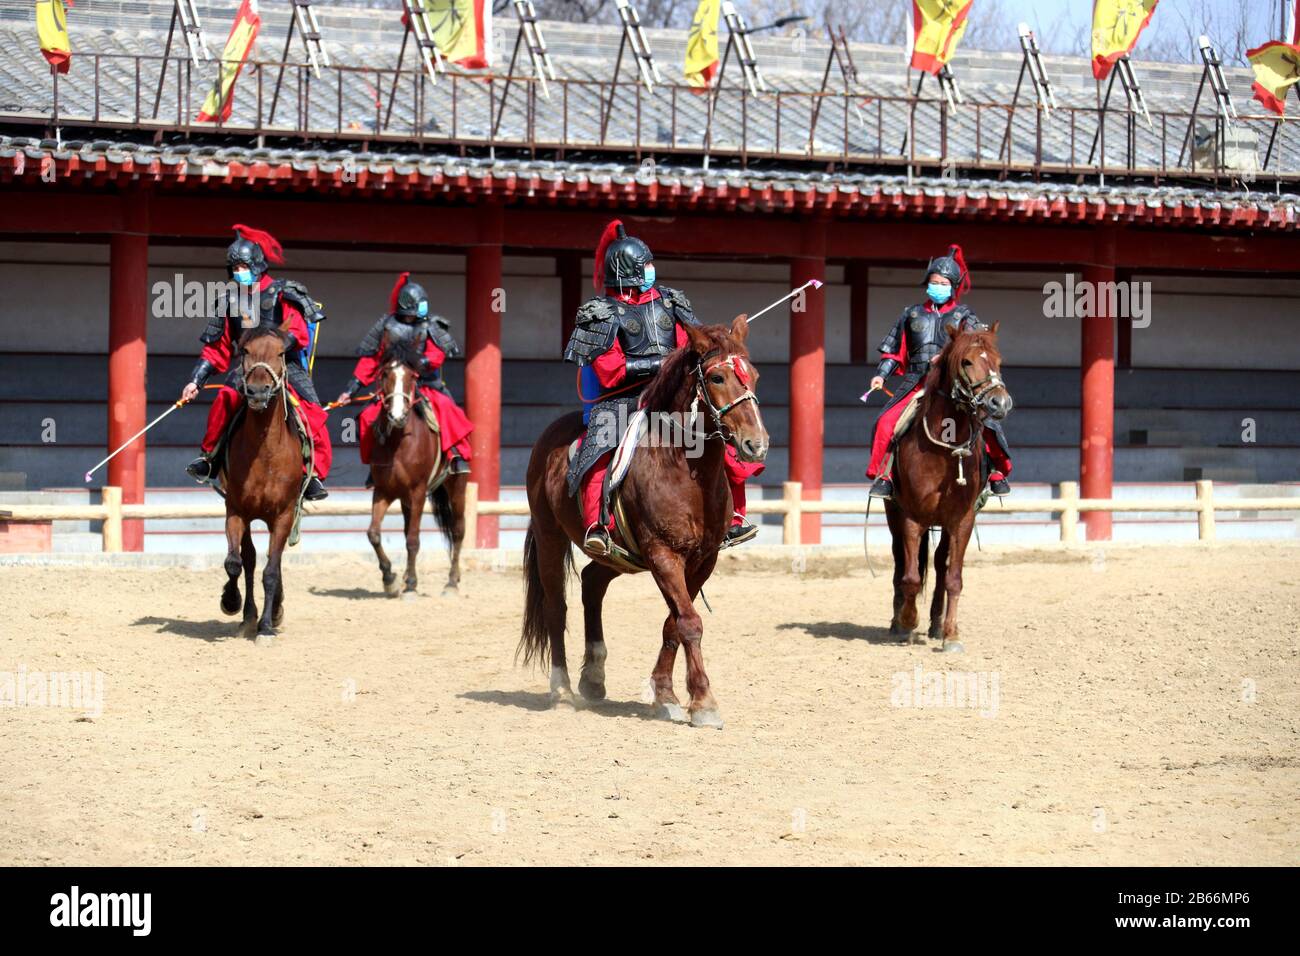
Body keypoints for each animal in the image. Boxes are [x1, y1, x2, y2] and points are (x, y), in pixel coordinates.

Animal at [220, 325, 309, 647]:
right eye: (245, 351)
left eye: (281, 353)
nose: (258, 392)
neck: (265, 454)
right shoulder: (236, 511)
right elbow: (235, 562)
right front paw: (231, 602)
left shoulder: (283, 515)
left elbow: (271, 570)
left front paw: (267, 627)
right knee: (248, 559)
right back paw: (248, 615)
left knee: (275, 560)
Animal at [366, 343, 467, 598]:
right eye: (385, 375)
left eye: (412, 377)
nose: (397, 416)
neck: (399, 443)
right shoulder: (383, 492)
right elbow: (374, 534)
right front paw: (390, 579)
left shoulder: (418, 491)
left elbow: (413, 539)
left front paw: (411, 584)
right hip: (405, 499)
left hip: (456, 487)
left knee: (458, 530)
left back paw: (451, 582)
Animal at [517, 317, 764, 728]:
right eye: (716, 377)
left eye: (754, 375)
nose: (755, 444)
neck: (684, 467)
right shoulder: (663, 554)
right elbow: (689, 622)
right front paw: (703, 702)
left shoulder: (702, 560)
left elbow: (674, 623)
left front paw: (665, 694)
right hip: (551, 536)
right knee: (556, 606)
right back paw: (562, 690)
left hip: (618, 555)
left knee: (592, 584)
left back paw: (593, 678)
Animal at [883, 325, 1013, 655]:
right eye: (966, 361)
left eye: (998, 361)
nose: (999, 403)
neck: (945, 449)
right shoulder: (912, 517)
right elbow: (911, 576)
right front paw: (907, 621)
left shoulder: (962, 520)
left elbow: (954, 577)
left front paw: (951, 635)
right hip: (893, 513)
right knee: (900, 562)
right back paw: (897, 622)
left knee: (940, 564)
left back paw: (936, 624)